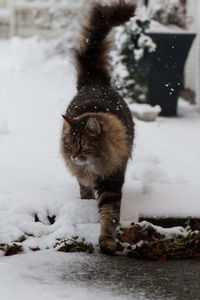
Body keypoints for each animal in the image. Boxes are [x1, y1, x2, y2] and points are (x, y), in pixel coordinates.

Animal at [61, 0, 136, 253]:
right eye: (69, 146)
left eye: (84, 146)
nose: (73, 156)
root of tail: (95, 83)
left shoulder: (112, 179)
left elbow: (109, 214)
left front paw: (107, 241)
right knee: (81, 183)